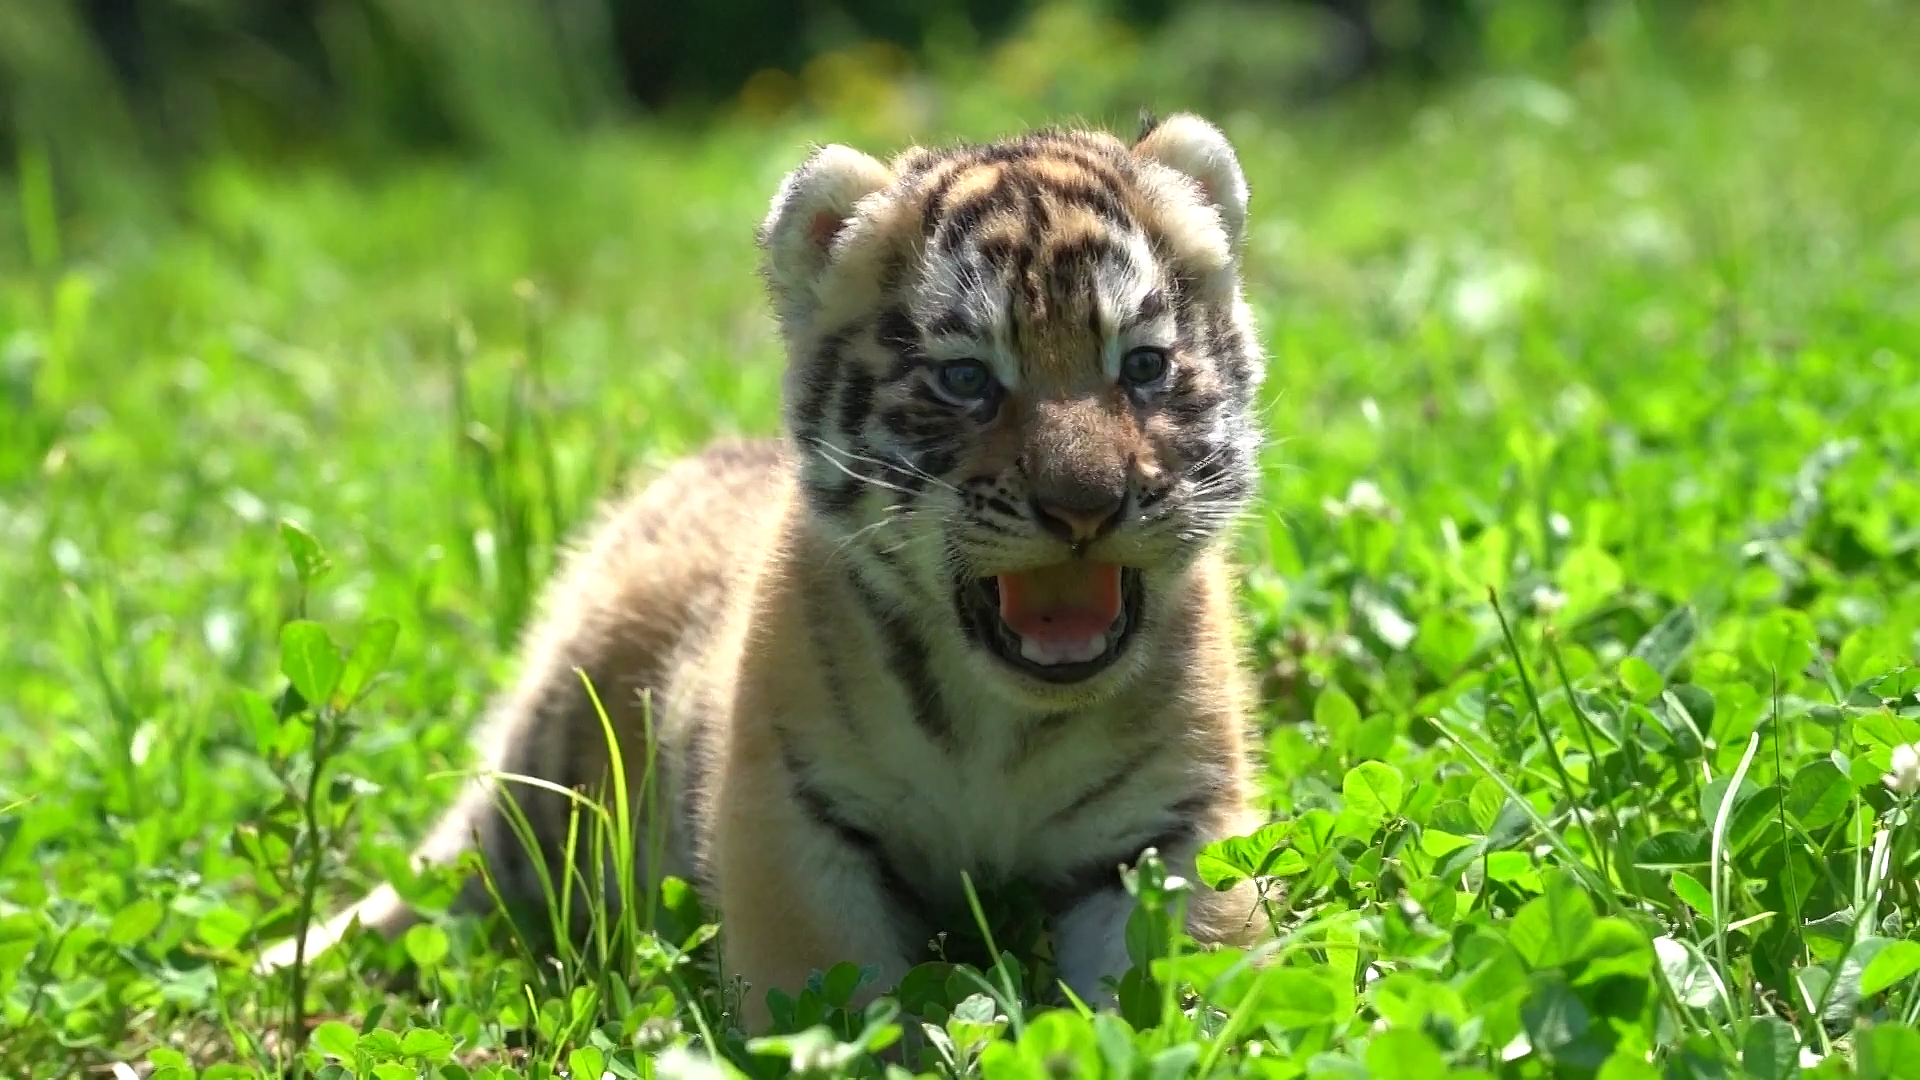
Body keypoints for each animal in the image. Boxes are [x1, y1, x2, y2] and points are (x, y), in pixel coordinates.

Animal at [260, 112, 1270, 1031]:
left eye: (1143, 367)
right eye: (966, 380)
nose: (1086, 508)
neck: (1008, 723)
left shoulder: (1177, 824)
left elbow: (1175, 991)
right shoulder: (790, 812)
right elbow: (831, 1004)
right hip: (543, 778)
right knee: (440, 873)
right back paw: (280, 964)